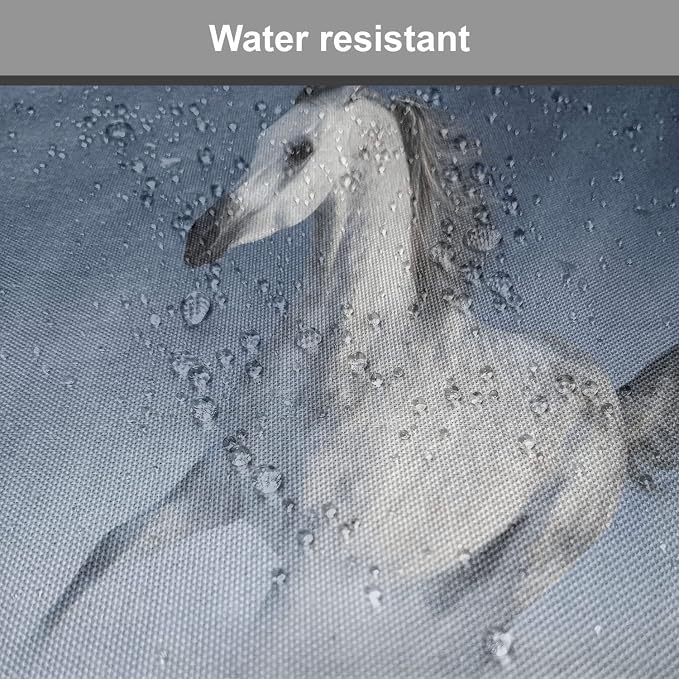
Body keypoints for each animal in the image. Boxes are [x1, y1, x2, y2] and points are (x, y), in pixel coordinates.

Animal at [30, 85, 679, 675]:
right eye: (260, 142)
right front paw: (35, 646)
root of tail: (617, 412)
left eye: (300, 150)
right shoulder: (214, 491)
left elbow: (255, 652)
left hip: (503, 583)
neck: (350, 372)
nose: (201, 239)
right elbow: (107, 550)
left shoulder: (309, 567)